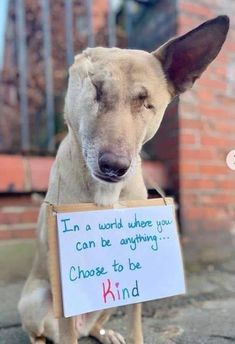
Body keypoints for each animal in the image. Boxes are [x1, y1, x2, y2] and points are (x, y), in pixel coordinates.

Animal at [18, 16, 229, 344]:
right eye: (96, 89)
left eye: (146, 103)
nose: (114, 167)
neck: (107, 192)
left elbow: (135, 320)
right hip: (34, 300)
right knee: (44, 331)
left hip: (102, 308)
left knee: (93, 324)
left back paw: (105, 332)